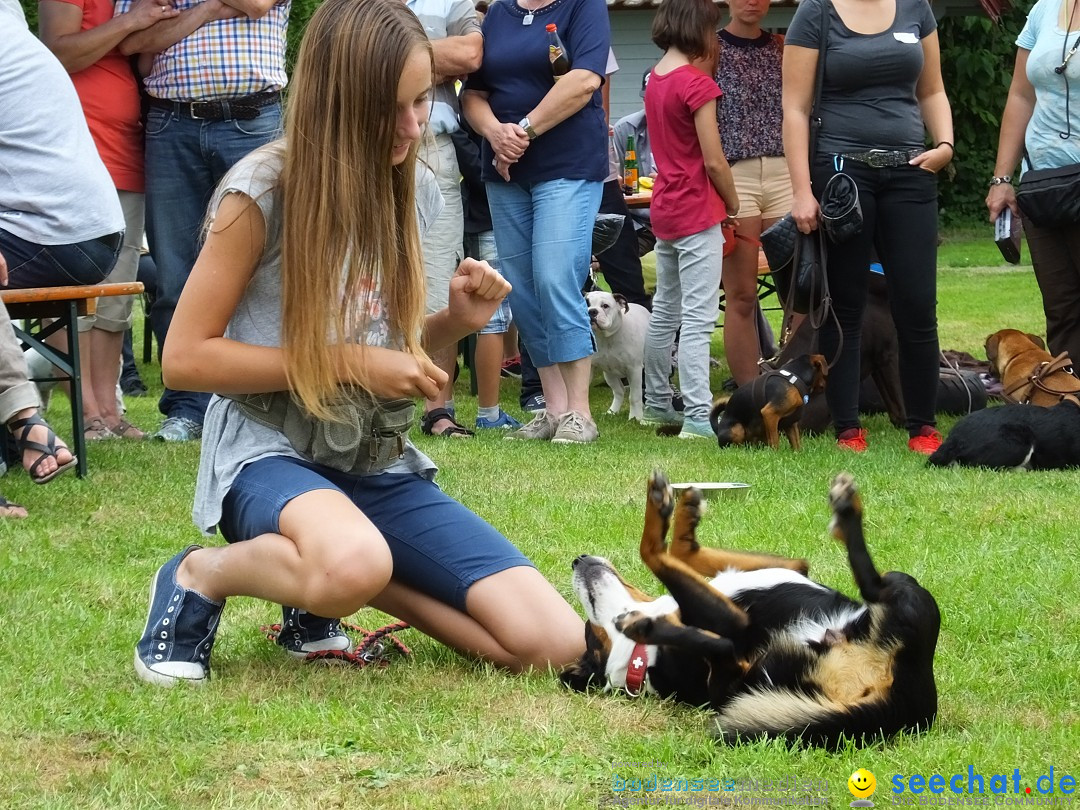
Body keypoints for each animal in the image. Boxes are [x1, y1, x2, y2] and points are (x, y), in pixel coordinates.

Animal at [561, 473, 941, 751]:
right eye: (593, 631)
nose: (576, 560)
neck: (641, 659)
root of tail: (900, 706)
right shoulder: (734, 620)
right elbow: (653, 552)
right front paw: (664, 508)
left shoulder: (790, 567)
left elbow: (683, 554)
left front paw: (685, 514)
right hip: (741, 677)